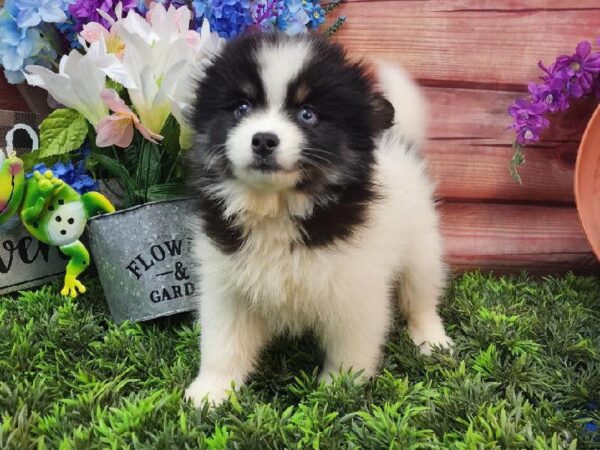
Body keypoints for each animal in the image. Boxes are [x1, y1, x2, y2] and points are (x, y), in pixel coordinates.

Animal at [183, 31, 450, 404]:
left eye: (307, 114)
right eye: (242, 108)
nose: (263, 140)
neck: (280, 210)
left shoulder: (355, 288)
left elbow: (350, 351)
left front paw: (335, 393)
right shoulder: (228, 284)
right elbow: (223, 343)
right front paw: (211, 391)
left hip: (421, 247)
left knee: (421, 298)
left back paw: (431, 340)